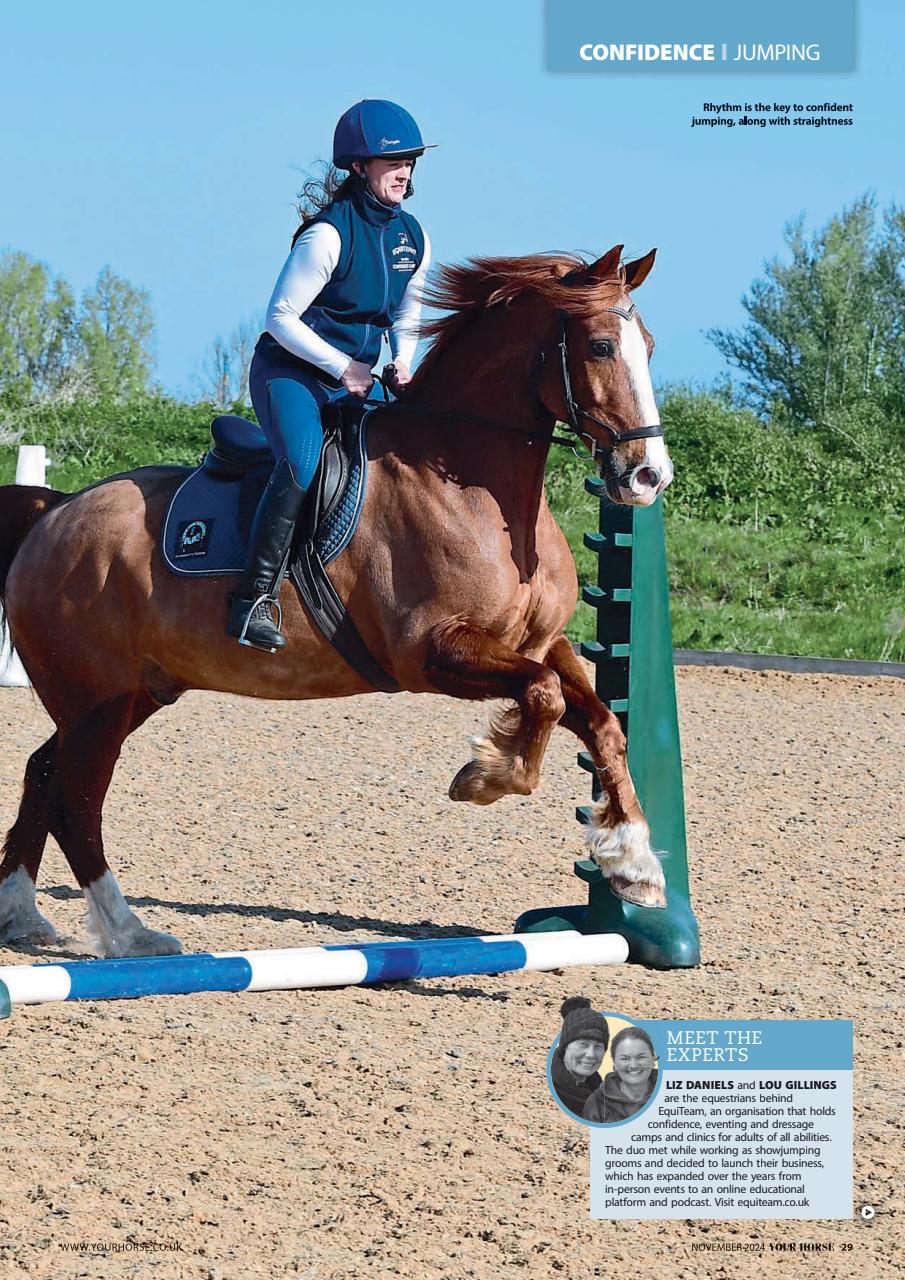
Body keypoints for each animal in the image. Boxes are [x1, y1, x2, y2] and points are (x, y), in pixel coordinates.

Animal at [0, 243, 673, 959]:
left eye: (649, 346)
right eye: (601, 346)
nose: (647, 477)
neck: (476, 492)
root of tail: (53, 512)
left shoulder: (539, 644)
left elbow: (599, 723)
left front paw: (634, 864)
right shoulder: (432, 653)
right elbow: (544, 699)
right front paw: (486, 776)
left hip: (132, 693)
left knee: (43, 771)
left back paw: (23, 915)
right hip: (97, 701)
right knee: (75, 800)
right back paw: (130, 933)